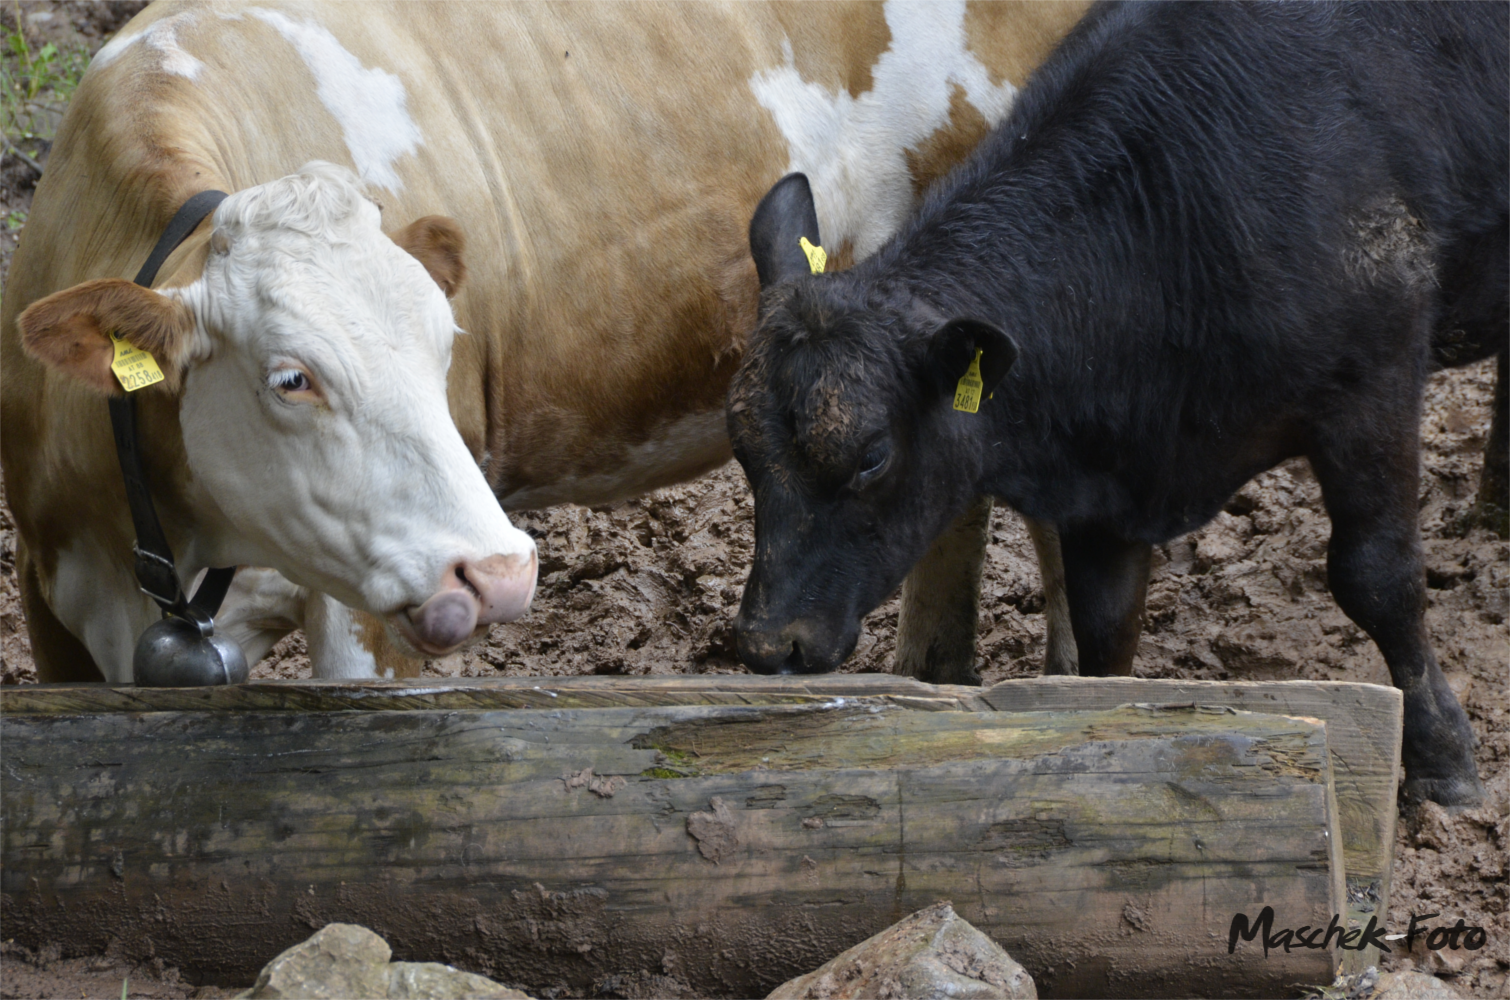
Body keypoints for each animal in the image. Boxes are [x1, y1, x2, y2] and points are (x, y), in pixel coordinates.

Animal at [724, 0, 1503, 809]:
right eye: (741, 449)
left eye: (872, 457)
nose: (768, 644)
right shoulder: (1103, 495)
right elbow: (1104, 628)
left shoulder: (1373, 382)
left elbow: (1378, 578)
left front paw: (1444, 761)